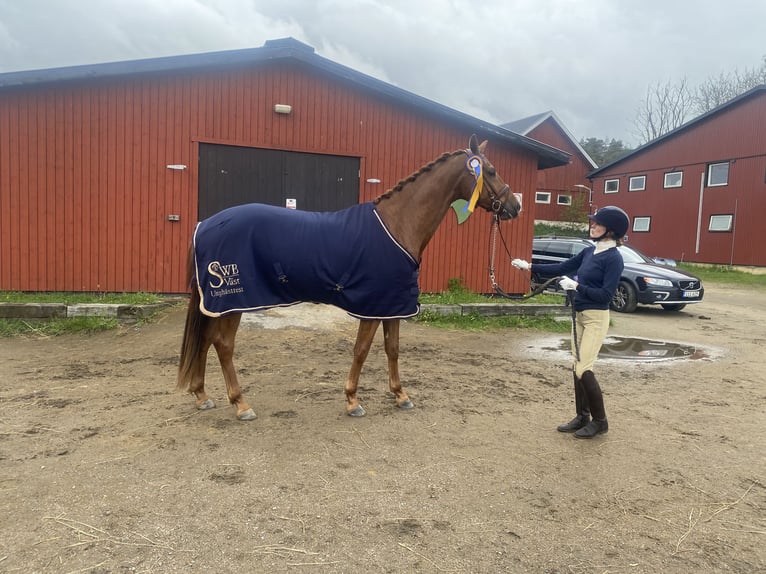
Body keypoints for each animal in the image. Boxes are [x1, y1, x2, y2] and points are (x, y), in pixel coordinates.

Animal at [177, 137, 520, 420]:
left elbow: (392, 349)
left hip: (216, 306)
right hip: (233, 302)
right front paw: (353, 400)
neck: (398, 224)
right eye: (490, 171)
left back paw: (202, 395)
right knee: (223, 345)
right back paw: (241, 404)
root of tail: (205, 224)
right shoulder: (373, 304)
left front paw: (400, 395)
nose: (515, 206)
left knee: (205, 341)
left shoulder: (393, 304)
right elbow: (362, 350)